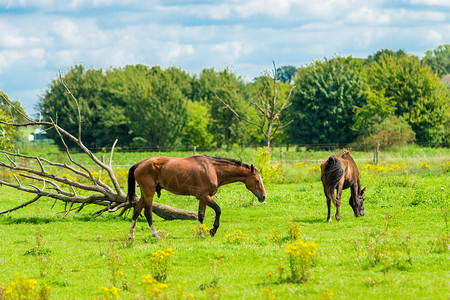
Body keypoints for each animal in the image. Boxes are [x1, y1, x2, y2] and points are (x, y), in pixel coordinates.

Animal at [127, 155, 268, 239]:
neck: (213, 169)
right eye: (256, 180)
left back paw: (131, 236)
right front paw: (213, 230)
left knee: (137, 210)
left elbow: (201, 215)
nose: (263, 197)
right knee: (147, 212)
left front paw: (200, 233)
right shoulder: (204, 196)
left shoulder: (203, 198)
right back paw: (155, 235)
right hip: (149, 193)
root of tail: (139, 164)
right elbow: (218, 210)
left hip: (144, 194)